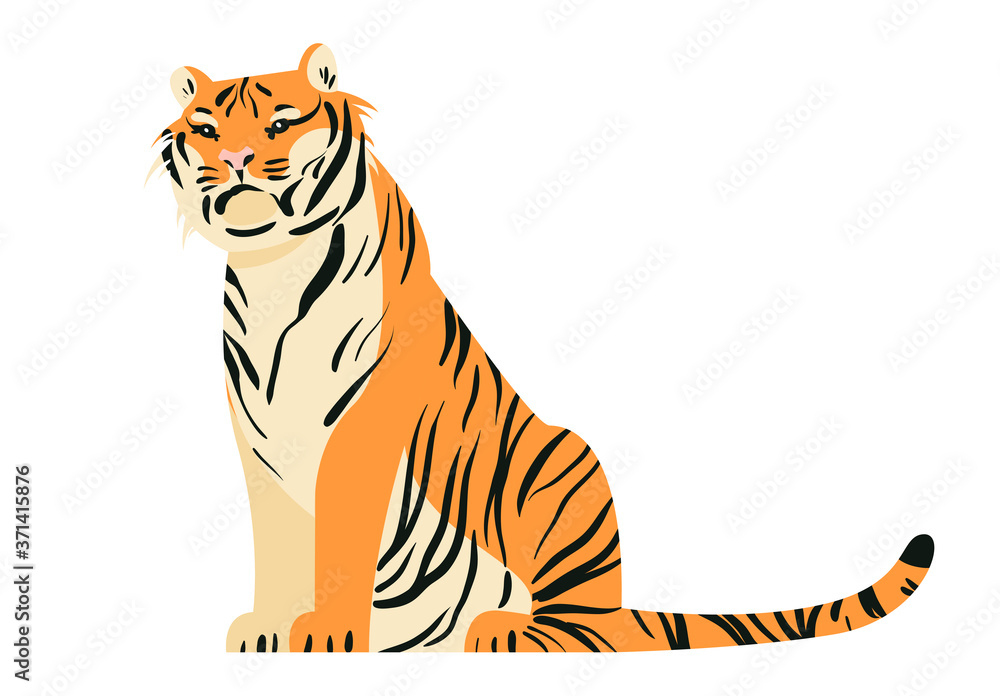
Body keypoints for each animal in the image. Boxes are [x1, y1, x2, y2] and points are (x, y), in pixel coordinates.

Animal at [153, 44, 934, 653]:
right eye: (207, 127)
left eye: (281, 122)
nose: (236, 159)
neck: (273, 272)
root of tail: (620, 608)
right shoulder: (257, 436)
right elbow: (279, 539)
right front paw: (269, 628)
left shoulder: (363, 425)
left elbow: (341, 533)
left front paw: (330, 631)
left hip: (566, 465)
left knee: (578, 629)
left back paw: (500, 631)